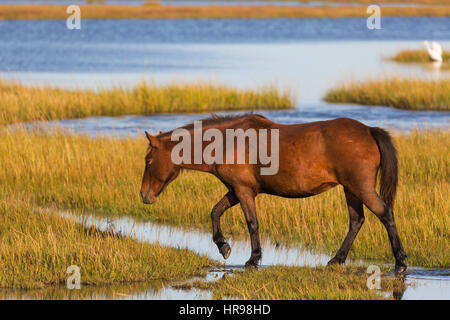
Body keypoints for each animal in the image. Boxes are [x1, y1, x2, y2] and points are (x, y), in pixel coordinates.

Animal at [141, 114, 408, 274]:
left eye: (148, 160)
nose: (144, 195)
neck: (227, 141)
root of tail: (369, 130)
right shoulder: (236, 190)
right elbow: (215, 211)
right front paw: (223, 246)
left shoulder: (243, 191)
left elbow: (252, 223)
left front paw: (252, 259)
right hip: (350, 189)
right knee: (356, 221)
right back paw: (337, 259)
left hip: (360, 187)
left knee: (385, 214)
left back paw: (400, 262)